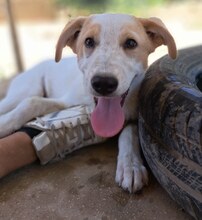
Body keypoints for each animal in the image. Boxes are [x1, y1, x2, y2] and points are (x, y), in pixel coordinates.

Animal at [0, 13, 177, 192]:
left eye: (131, 43)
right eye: (89, 41)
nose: (103, 83)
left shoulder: (134, 117)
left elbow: (130, 134)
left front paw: (130, 166)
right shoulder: (66, 101)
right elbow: (32, 103)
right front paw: (3, 124)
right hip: (26, 89)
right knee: (24, 98)